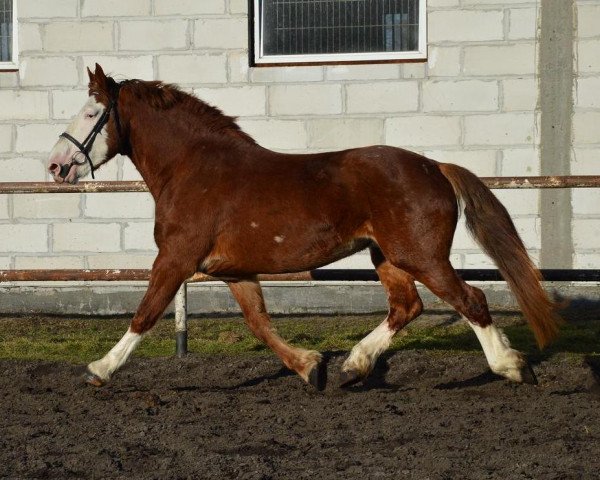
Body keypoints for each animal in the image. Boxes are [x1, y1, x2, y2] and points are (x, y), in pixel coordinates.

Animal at [47, 65, 564, 390]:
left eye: (91, 114)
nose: (55, 165)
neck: (194, 168)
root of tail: (435, 166)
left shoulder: (176, 260)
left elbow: (145, 313)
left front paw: (98, 369)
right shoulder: (233, 270)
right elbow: (260, 324)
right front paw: (311, 367)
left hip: (422, 256)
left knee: (470, 300)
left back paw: (513, 367)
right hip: (387, 257)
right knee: (407, 307)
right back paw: (354, 366)